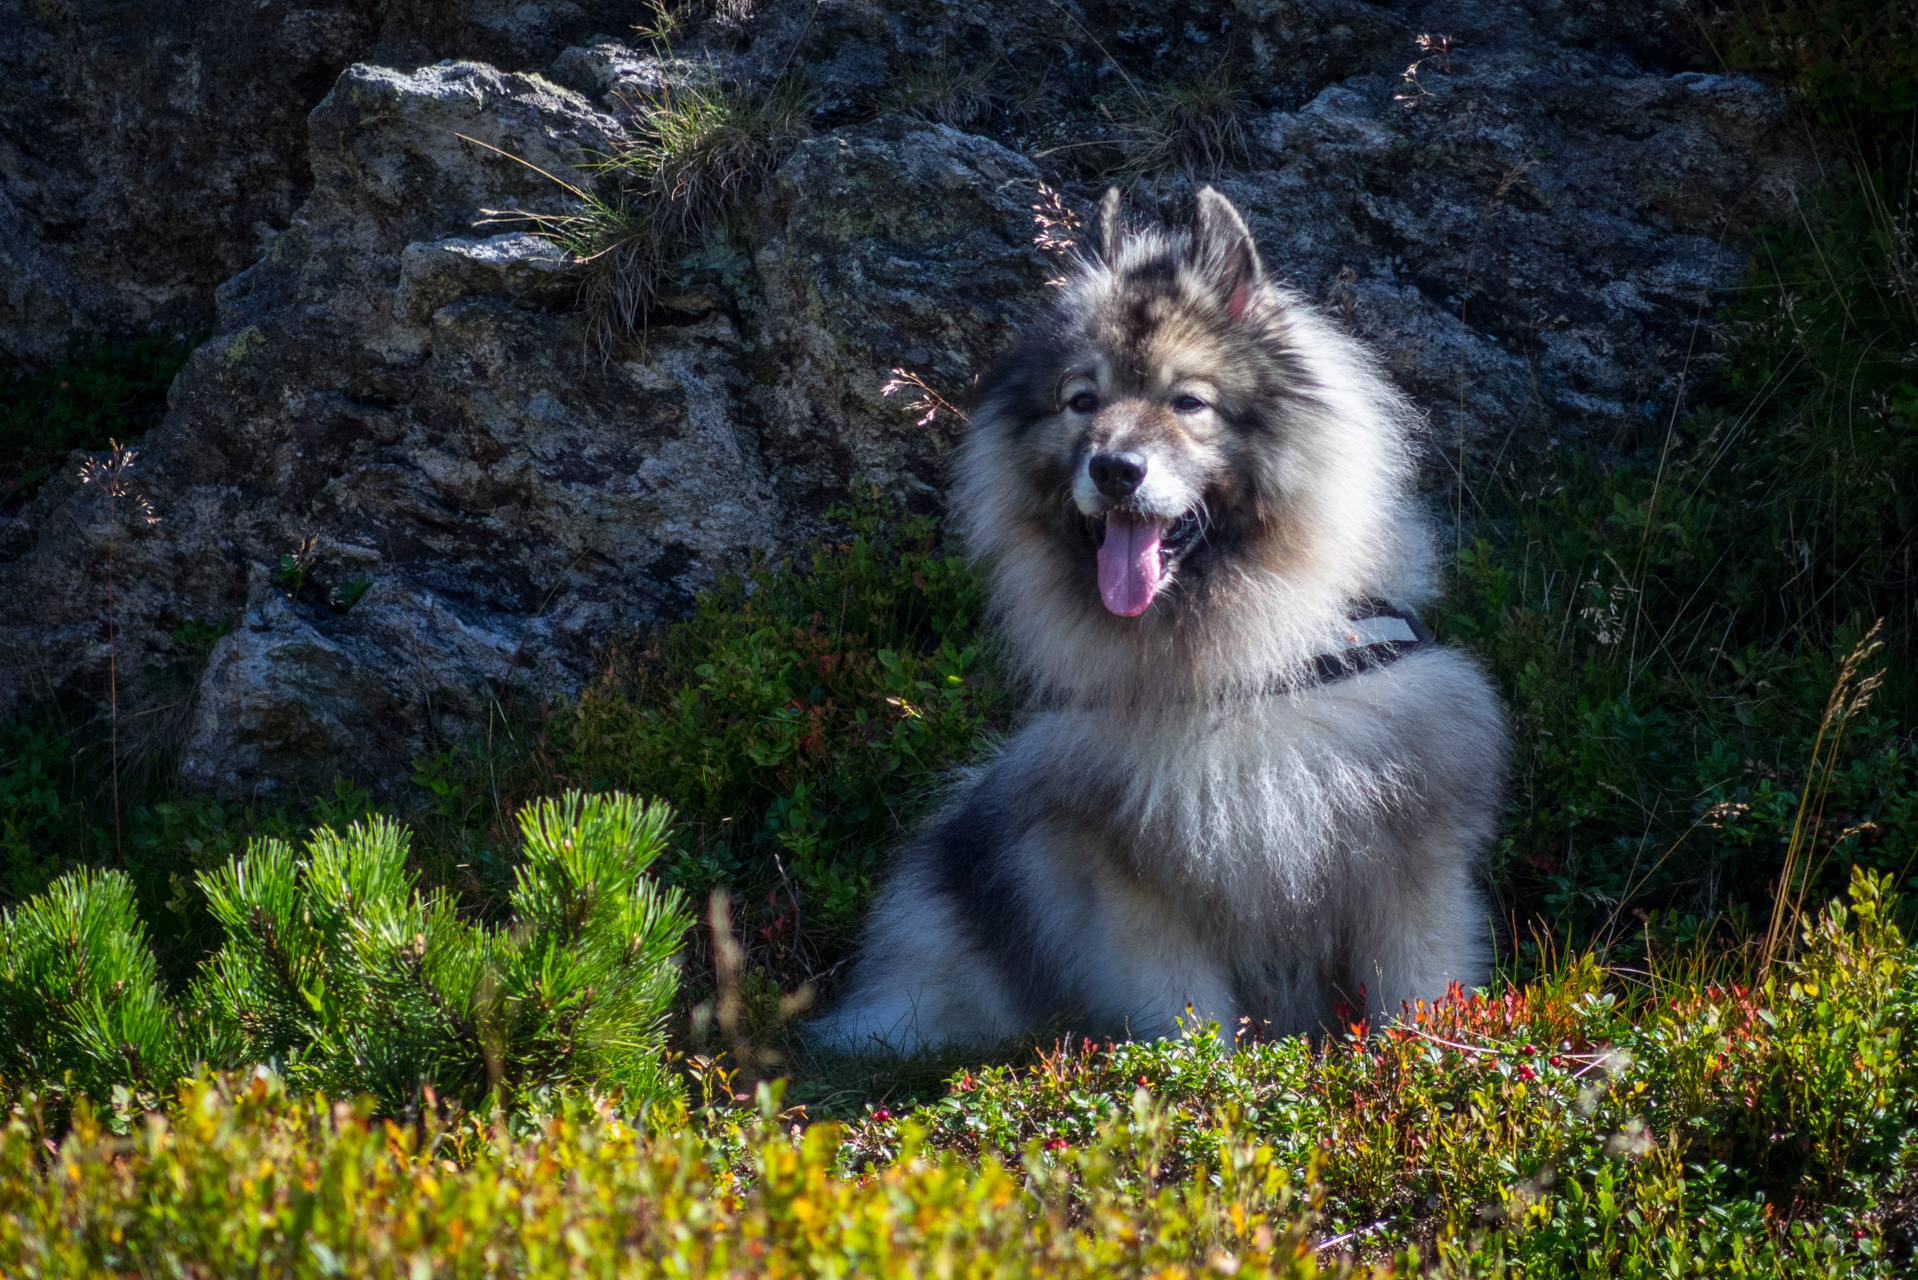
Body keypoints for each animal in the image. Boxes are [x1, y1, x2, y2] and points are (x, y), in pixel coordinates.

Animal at [801, 188, 1503, 1051]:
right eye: (1082, 401)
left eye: (1188, 402)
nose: (1114, 469)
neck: (1234, 668)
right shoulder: (1142, 902)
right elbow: (1189, 1031)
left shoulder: (1413, 874)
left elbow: (1418, 997)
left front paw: (1434, 1056)